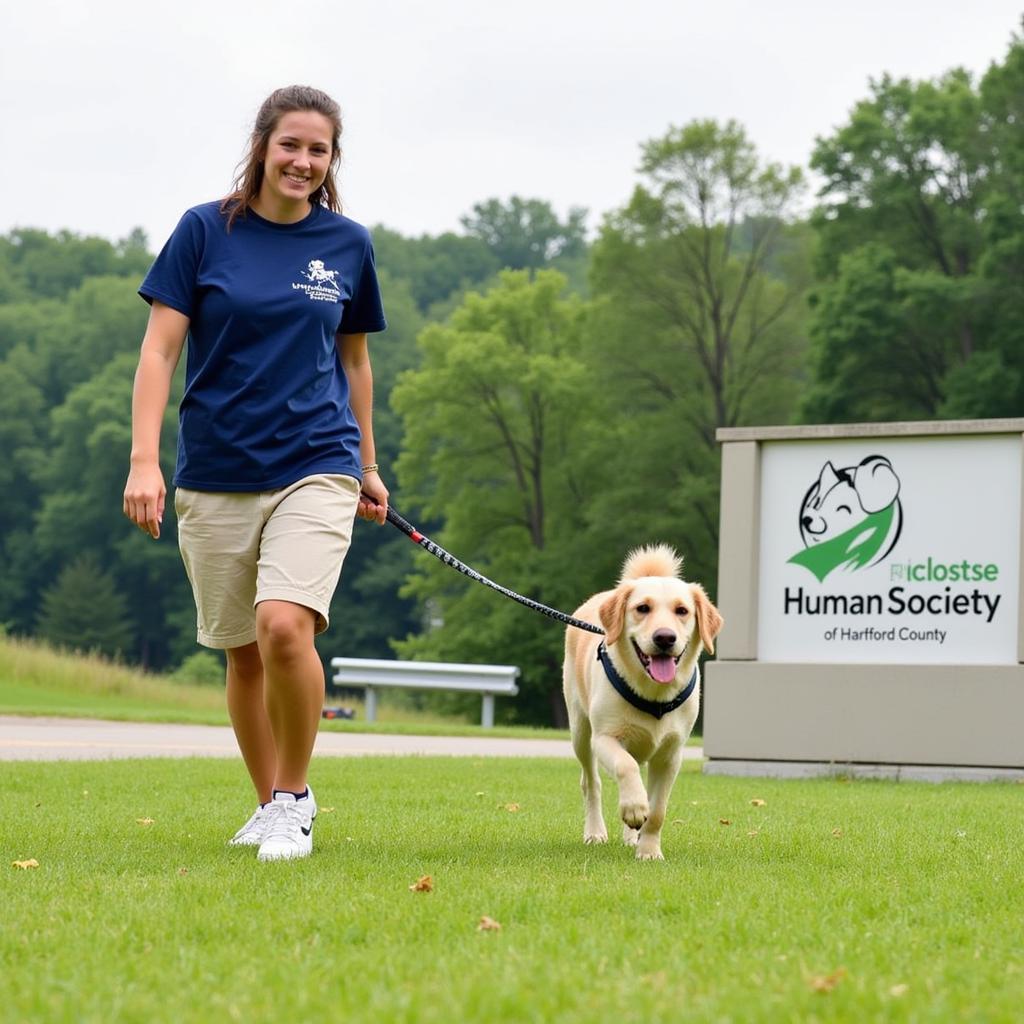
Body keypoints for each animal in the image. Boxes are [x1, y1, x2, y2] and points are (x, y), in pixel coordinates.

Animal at [565, 548, 724, 860]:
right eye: (642, 608)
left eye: (682, 611)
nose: (664, 637)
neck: (654, 695)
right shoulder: (605, 737)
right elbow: (626, 767)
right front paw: (635, 808)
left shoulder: (671, 755)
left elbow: (658, 810)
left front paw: (648, 850)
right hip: (580, 730)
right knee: (592, 782)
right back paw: (595, 832)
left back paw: (631, 836)